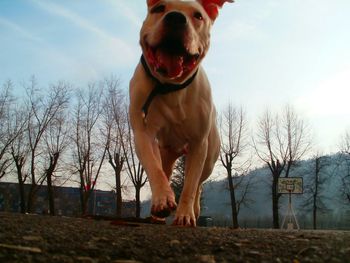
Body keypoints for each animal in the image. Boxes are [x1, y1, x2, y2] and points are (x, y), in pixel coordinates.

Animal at [129, 0, 232, 227]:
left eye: (198, 16)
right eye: (158, 8)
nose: (176, 17)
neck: (170, 87)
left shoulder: (198, 144)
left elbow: (190, 185)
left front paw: (185, 214)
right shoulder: (143, 133)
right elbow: (154, 168)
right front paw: (162, 201)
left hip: (208, 159)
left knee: (199, 184)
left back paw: (195, 209)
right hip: (167, 152)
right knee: (165, 170)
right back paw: (157, 212)